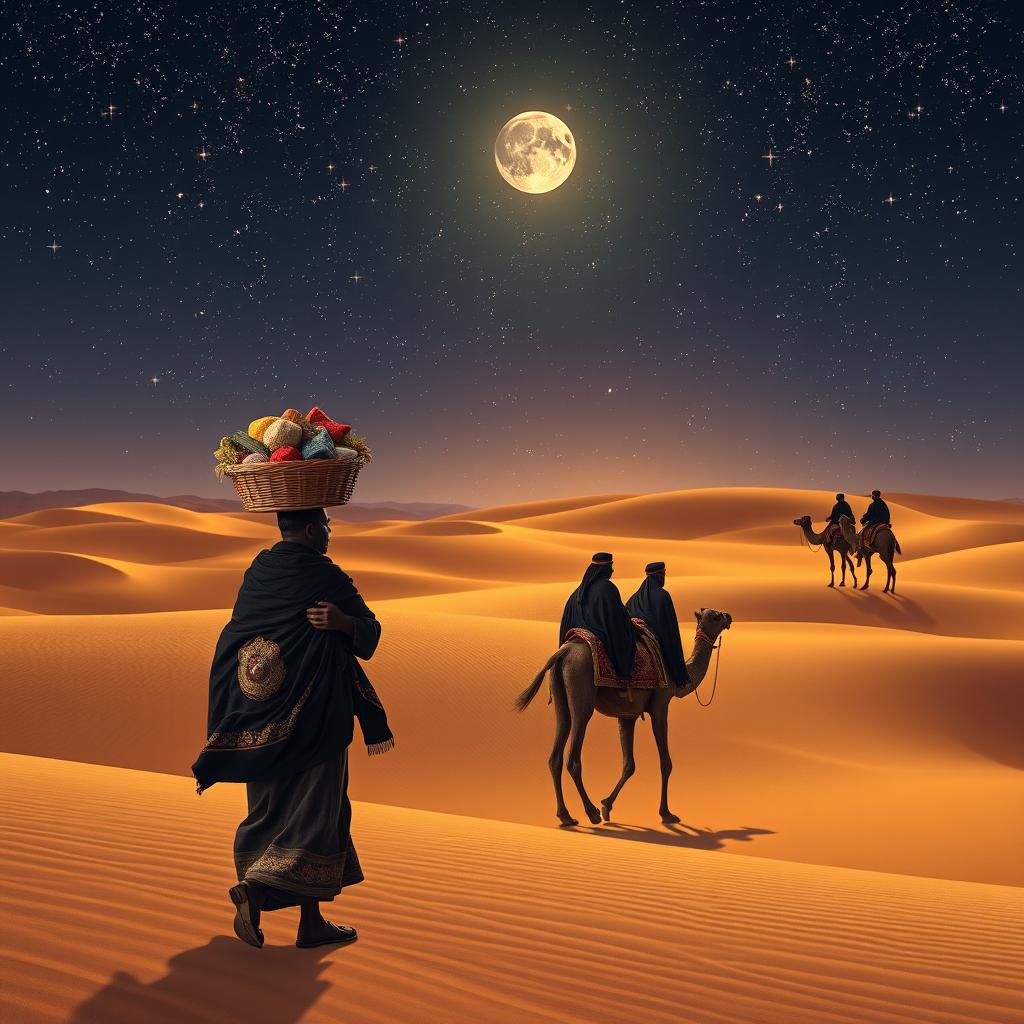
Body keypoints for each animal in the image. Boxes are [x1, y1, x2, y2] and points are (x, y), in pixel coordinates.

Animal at [516, 606, 733, 831]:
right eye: (716, 616)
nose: (729, 617)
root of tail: (562, 652)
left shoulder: (627, 716)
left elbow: (629, 764)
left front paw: (607, 806)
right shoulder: (660, 706)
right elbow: (665, 762)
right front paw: (666, 814)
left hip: (560, 698)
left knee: (555, 755)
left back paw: (566, 817)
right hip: (581, 695)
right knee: (573, 757)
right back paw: (591, 813)